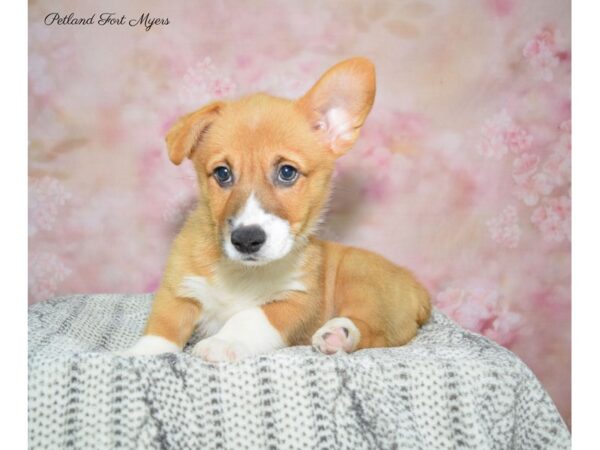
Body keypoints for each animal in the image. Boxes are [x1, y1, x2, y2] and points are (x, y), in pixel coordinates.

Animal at [123, 58, 432, 364]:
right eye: (222, 173)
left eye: (287, 172)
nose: (246, 240)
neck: (242, 274)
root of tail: (419, 291)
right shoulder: (177, 289)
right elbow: (162, 326)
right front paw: (141, 354)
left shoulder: (295, 302)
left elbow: (249, 316)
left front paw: (222, 341)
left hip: (359, 278)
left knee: (373, 332)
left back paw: (337, 334)